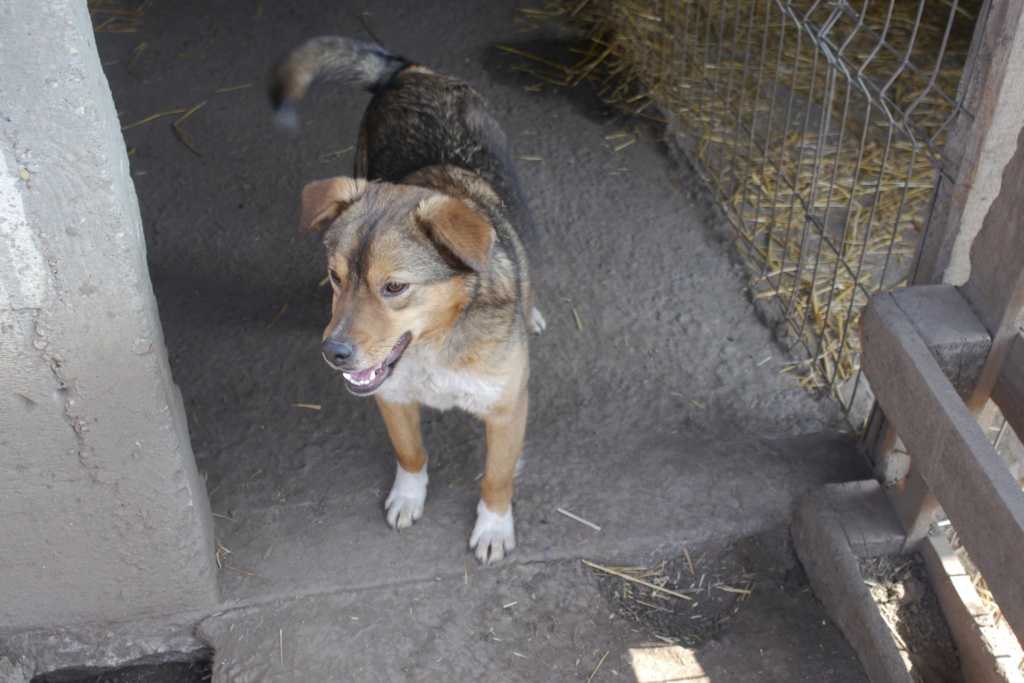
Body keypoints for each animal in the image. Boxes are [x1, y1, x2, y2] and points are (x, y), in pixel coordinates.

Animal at [270, 34, 544, 565]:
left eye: (394, 287)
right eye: (334, 277)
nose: (333, 353)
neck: (434, 348)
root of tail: (411, 71)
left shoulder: (507, 410)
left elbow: (496, 478)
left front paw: (493, 528)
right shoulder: (391, 399)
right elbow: (411, 454)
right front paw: (407, 498)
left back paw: (533, 309)